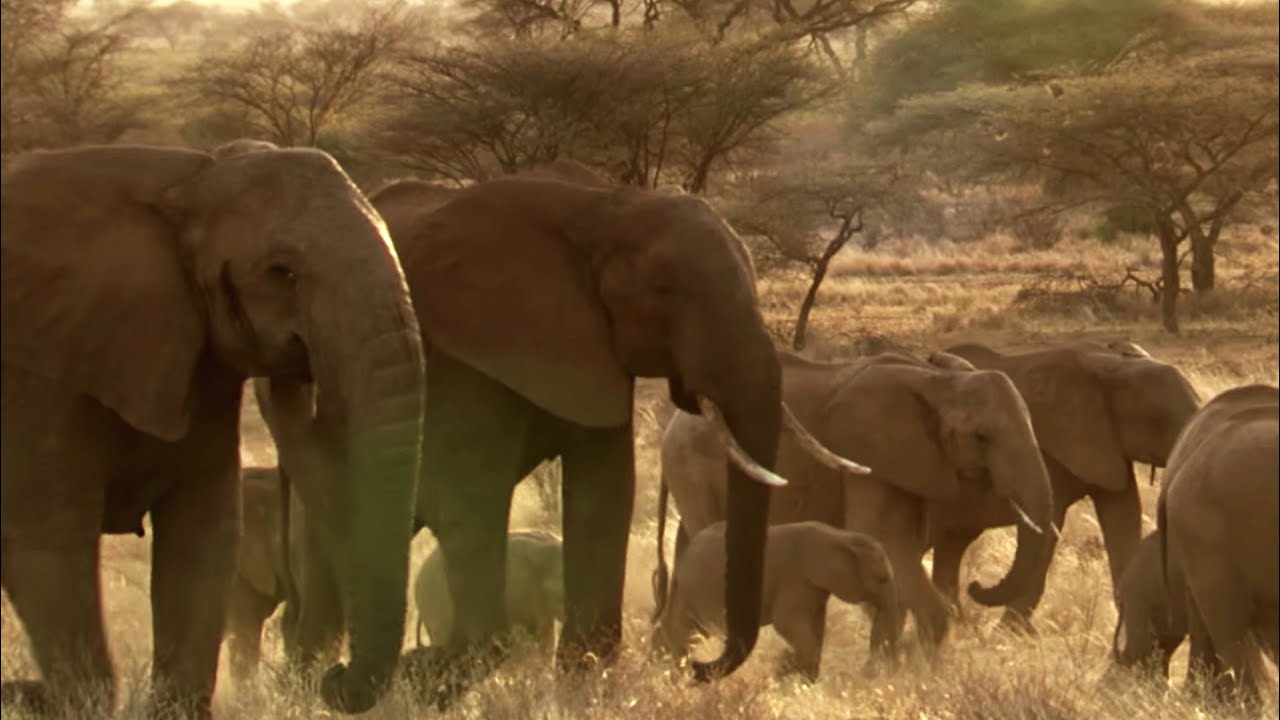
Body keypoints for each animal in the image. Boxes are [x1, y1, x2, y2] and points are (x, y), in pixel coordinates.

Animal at [0, 141, 427, 718]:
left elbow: (203, 537)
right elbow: (49, 546)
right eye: (280, 273)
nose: (333, 680)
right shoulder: (36, 382)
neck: (187, 181)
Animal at [650, 521, 900, 683]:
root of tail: (683, 557)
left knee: (686, 629)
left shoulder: (814, 586)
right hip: (702, 589)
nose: (868, 671)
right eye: (881, 578)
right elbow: (787, 624)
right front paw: (788, 673)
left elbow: (817, 627)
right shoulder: (796, 577)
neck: (839, 535)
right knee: (689, 630)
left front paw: (800, 678)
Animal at [655, 350, 1056, 656]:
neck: (937, 381)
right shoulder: (869, 457)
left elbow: (899, 551)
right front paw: (921, 669)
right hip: (695, 464)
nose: (977, 586)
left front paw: (887, 668)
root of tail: (674, 422)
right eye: (982, 437)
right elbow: (883, 537)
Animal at [931, 341, 1202, 625]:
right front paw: (1010, 631)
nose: (975, 585)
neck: (1111, 364)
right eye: (1159, 419)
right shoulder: (1052, 450)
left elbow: (1124, 517)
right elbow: (1050, 531)